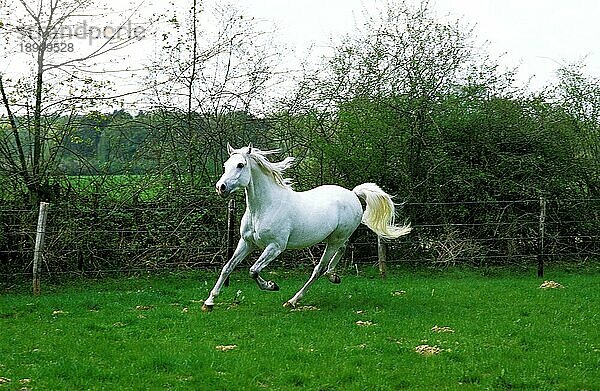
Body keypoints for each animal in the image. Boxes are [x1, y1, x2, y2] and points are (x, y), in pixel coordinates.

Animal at [202, 145, 412, 312]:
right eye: (225, 165)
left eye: (240, 165)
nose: (220, 187)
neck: (264, 207)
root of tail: (353, 194)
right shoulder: (247, 243)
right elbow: (227, 267)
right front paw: (209, 302)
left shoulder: (275, 247)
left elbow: (253, 270)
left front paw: (272, 285)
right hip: (333, 238)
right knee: (342, 251)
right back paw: (333, 276)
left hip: (334, 240)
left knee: (318, 269)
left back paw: (293, 300)